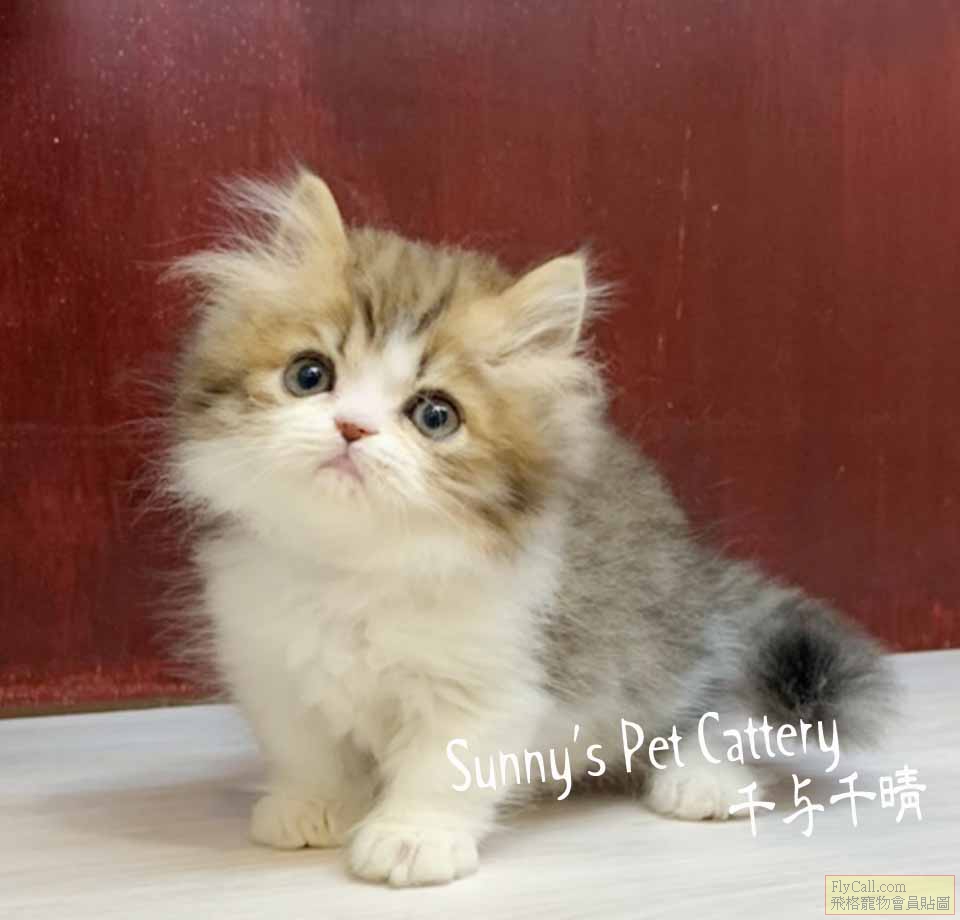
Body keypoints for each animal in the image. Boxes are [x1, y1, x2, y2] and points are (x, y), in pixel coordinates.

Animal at [168, 170, 891, 887]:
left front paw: (412, 838)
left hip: (663, 646)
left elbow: (443, 765)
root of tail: (699, 570)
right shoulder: (271, 661)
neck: (357, 565)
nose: (352, 428)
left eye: (435, 415)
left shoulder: (492, 674)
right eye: (309, 375)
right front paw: (312, 806)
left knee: (704, 709)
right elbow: (307, 750)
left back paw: (703, 782)